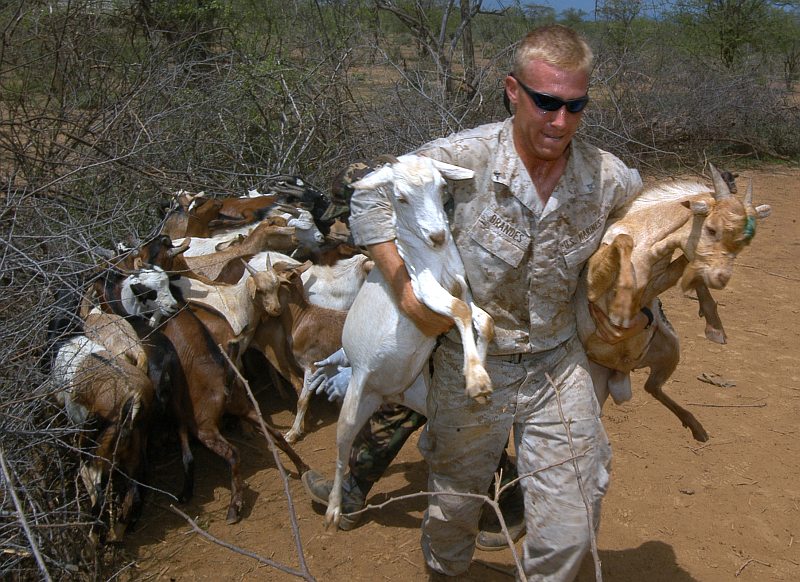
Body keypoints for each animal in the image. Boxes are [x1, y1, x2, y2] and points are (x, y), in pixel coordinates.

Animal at [324, 155, 494, 528]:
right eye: (399, 197)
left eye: (442, 187)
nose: (438, 236)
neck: (435, 258)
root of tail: (388, 393)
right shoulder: (424, 290)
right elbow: (460, 311)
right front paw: (476, 380)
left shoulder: (462, 286)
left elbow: (484, 321)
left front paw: (478, 376)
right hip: (354, 401)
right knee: (342, 449)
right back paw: (333, 509)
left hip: (418, 396)